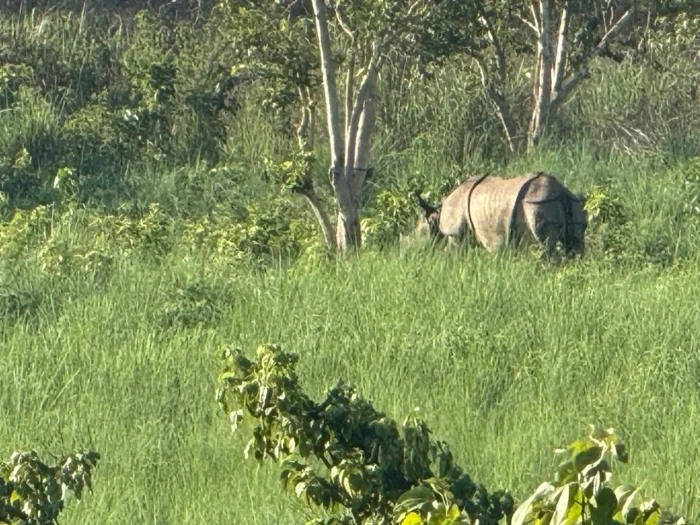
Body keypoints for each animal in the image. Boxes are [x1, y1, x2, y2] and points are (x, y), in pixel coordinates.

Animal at [414, 172, 587, 257]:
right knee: (575, 242)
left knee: (544, 243)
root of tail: (561, 192)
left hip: (537, 203)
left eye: (420, 231)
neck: (438, 212)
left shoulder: (455, 232)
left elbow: (454, 253)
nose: (412, 249)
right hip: (573, 201)